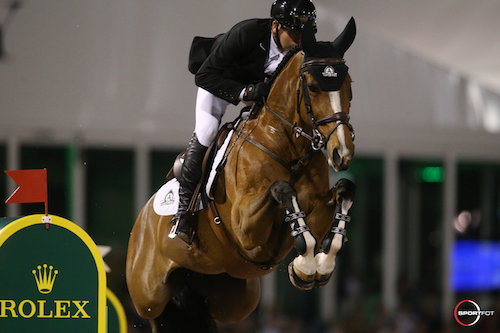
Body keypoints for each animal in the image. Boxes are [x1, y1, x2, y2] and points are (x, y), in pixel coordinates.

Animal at [127, 18, 358, 332]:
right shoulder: (243, 227)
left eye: (349, 85)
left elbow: (344, 190)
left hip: (234, 299)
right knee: (155, 311)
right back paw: (180, 225)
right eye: (312, 86)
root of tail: (140, 222)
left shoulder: (317, 206)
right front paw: (306, 265)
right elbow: (282, 188)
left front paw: (315, 267)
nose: (341, 153)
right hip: (150, 296)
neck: (289, 149)